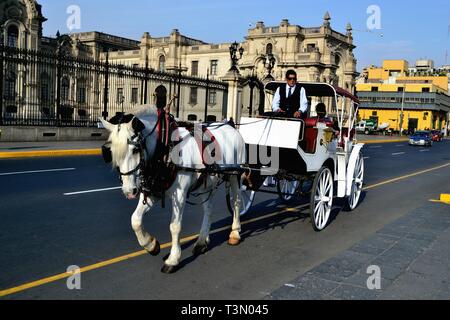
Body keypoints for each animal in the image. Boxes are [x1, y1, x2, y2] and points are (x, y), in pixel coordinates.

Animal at [100, 106, 246, 274]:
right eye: (110, 152)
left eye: (136, 149)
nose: (129, 191)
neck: (164, 148)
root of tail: (231, 126)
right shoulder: (154, 192)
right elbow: (135, 220)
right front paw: (151, 245)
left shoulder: (180, 194)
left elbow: (174, 226)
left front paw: (173, 259)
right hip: (207, 182)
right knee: (208, 209)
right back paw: (202, 241)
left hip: (235, 174)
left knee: (236, 201)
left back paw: (235, 233)